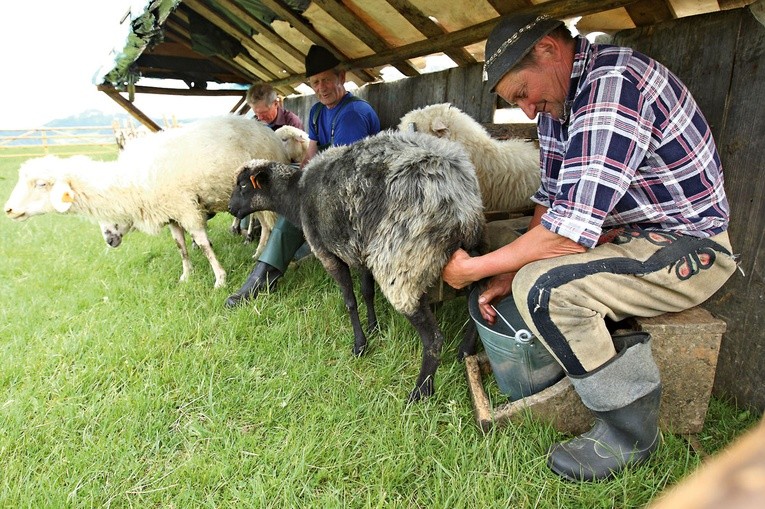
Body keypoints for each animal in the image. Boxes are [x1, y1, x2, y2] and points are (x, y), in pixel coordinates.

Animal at [4, 116, 290, 288]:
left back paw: (259, 253)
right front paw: (186, 276)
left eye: (41, 184)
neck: (133, 182)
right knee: (265, 225)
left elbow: (203, 244)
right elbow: (181, 247)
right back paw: (257, 252)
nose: (8, 210)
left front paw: (219, 279)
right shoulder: (171, 213)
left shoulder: (185, 207)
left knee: (269, 224)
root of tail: (272, 135)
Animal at [227, 130, 484, 400]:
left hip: (401, 262)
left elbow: (350, 301)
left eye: (243, 185)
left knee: (433, 338)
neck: (296, 196)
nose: (230, 208)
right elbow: (367, 292)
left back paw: (421, 391)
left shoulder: (328, 254)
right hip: (467, 251)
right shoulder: (359, 253)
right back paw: (465, 350)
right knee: (479, 294)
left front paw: (360, 344)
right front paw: (374, 328)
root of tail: (457, 195)